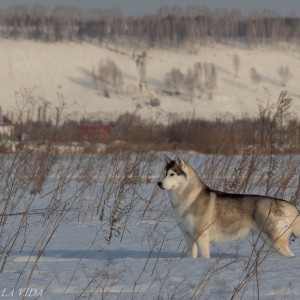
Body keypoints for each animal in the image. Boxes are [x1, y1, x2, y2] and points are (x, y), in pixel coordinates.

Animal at [157, 155, 300, 258]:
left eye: (172, 174)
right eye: (164, 173)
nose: (159, 183)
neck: (187, 199)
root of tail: (286, 203)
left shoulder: (202, 237)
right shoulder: (188, 236)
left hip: (275, 240)